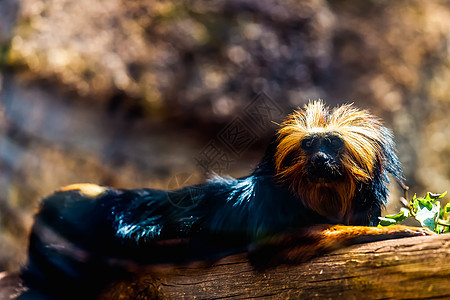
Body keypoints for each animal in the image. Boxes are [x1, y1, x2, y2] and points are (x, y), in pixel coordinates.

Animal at [20, 101, 432, 300]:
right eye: (308, 145)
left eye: (331, 144)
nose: (319, 159)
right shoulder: (271, 209)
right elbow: (276, 245)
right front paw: (396, 234)